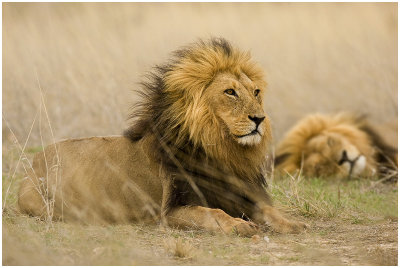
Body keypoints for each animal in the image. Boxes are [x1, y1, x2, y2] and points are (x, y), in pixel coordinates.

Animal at [18, 38, 306, 237]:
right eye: (230, 92)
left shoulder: (241, 195)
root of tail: (34, 161)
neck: (222, 152)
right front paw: (238, 225)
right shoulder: (171, 212)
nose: (259, 119)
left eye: (256, 92)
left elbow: (268, 210)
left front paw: (292, 222)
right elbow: (212, 213)